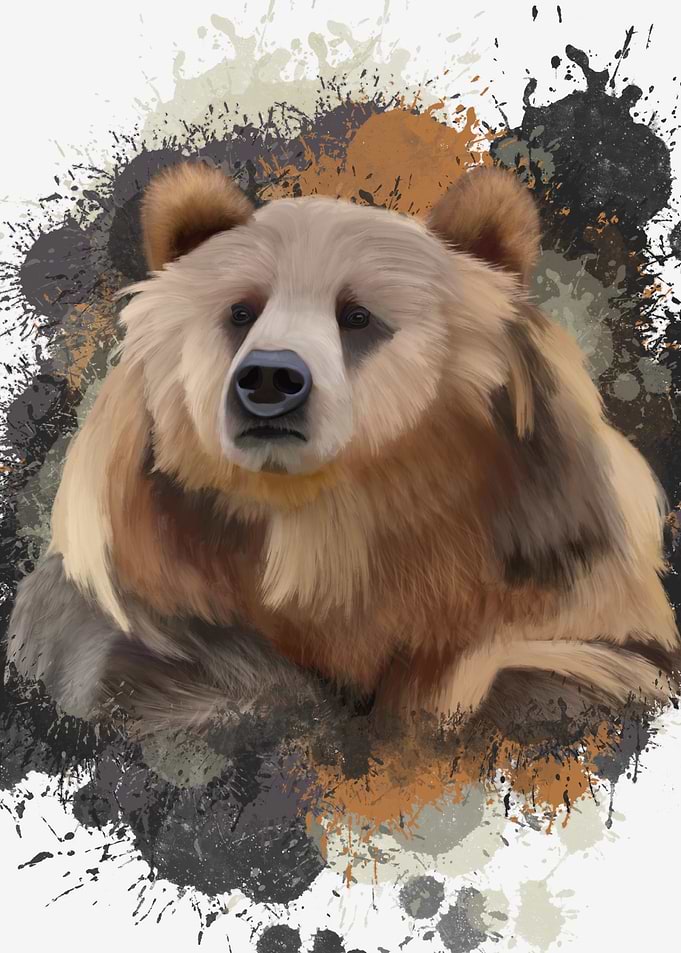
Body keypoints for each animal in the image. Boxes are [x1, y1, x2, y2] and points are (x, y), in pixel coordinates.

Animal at [5, 161, 680, 733]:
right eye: (241, 311)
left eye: (356, 316)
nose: (270, 378)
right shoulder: (144, 595)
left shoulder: (559, 573)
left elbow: (577, 661)